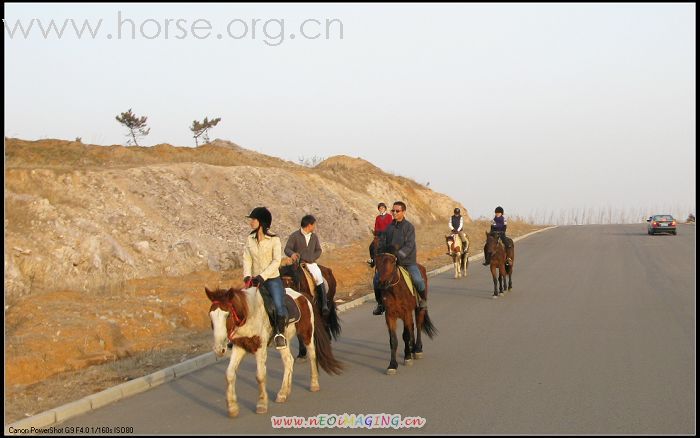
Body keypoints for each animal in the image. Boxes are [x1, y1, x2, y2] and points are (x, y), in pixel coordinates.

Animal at [204, 288, 344, 418]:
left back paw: (314, 384)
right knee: (288, 361)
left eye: (227, 315)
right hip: (284, 340)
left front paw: (261, 404)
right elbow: (229, 374)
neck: (249, 314)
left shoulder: (260, 348)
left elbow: (260, 375)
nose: (219, 349)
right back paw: (283, 393)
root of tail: (302, 295)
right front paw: (232, 408)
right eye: (210, 316)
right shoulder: (239, 347)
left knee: (312, 355)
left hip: (307, 334)